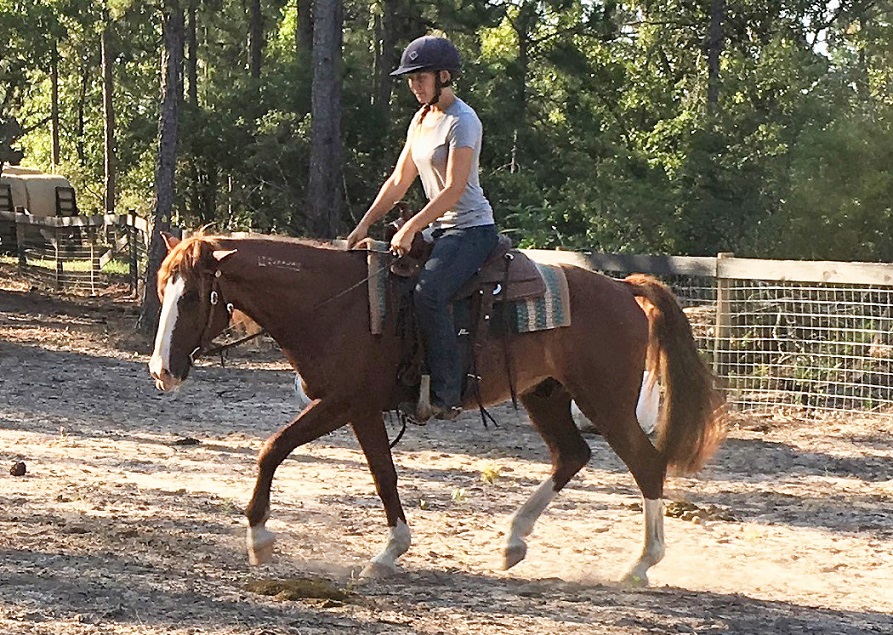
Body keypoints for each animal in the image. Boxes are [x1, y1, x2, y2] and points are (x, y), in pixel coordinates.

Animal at [148, 231, 725, 585]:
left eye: (193, 296)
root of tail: (624, 287)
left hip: (604, 399)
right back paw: (514, 541)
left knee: (644, 464)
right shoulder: (359, 410)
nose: (161, 370)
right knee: (572, 456)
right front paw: (389, 552)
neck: (335, 304)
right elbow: (382, 474)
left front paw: (260, 539)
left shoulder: (345, 403)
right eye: (161, 287)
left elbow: (273, 449)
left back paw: (641, 565)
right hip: (546, 394)